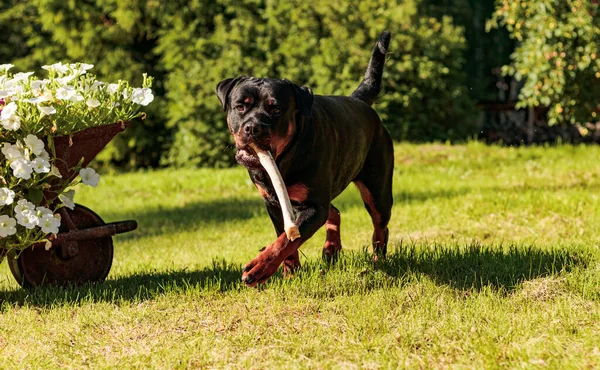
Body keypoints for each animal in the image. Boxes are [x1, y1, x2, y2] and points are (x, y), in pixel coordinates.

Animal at [216, 31, 394, 286]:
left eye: (276, 109)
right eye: (240, 106)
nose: (253, 127)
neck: (282, 162)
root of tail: (359, 101)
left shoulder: (314, 205)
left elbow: (288, 239)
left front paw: (259, 267)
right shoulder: (274, 203)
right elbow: (284, 236)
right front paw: (290, 272)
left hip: (377, 189)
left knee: (380, 226)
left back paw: (378, 260)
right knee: (335, 211)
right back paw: (331, 248)